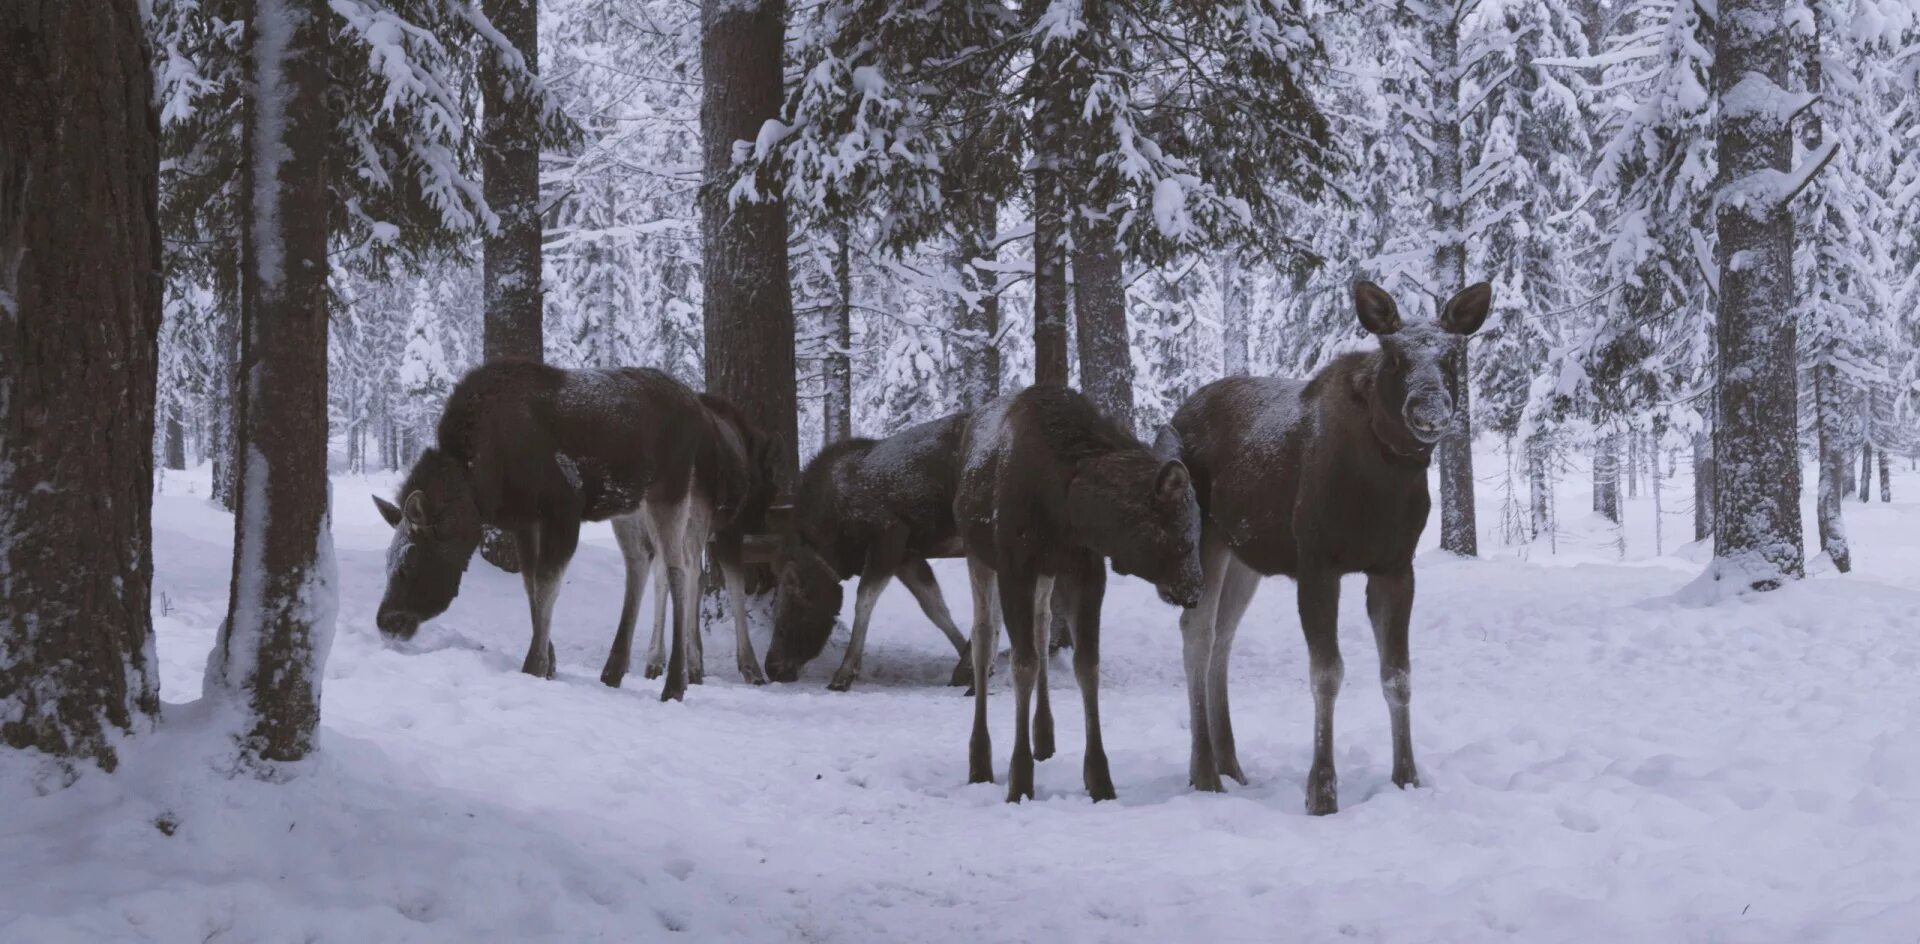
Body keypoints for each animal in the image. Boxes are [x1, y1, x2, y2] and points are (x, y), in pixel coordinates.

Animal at [370, 360, 775, 702]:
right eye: (386, 562)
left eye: (409, 564)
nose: (387, 621)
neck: (479, 481)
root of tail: (700, 411)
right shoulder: (525, 522)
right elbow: (531, 586)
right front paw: (548, 662)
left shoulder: (563, 511)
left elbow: (547, 585)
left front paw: (535, 663)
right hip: (630, 504)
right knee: (641, 565)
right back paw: (615, 669)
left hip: (673, 491)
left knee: (681, 570)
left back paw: (676, 681)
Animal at [764, 408, 975, 690]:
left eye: (787, 618)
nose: (772, 668)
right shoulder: (908, 555)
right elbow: (935, 608)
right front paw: (967, 661)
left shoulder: (889, 534)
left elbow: (864, 599)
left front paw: (845, 672)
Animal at [956, 385, 1198, 802]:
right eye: (1184, 540)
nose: (1195, 591)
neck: (1070, 512)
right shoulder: (1015, 566)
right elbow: (1022, 664)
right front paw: (1019, 781)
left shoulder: (1085, 569)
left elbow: (1087, 665)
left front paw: (1100, 778)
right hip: (978, 555)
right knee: (984, 637)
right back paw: (980, 761)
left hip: (1047, 573)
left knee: (1042, 627)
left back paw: (1043, 737)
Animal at [1167, 278, 1497, 809]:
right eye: (1394, 356)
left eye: (1452, 356)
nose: (1429, 410)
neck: (1384, 483)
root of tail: (1180, 411)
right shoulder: (1318, 562)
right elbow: (1326, 673)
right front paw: (1321, 790)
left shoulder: (1395, 566)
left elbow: (1398, 675)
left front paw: (1407, 777)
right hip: (1204, 539)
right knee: (1196, 632)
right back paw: (1203, 772)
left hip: (1245, 557)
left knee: (1224, 635)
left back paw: (1230, 764)